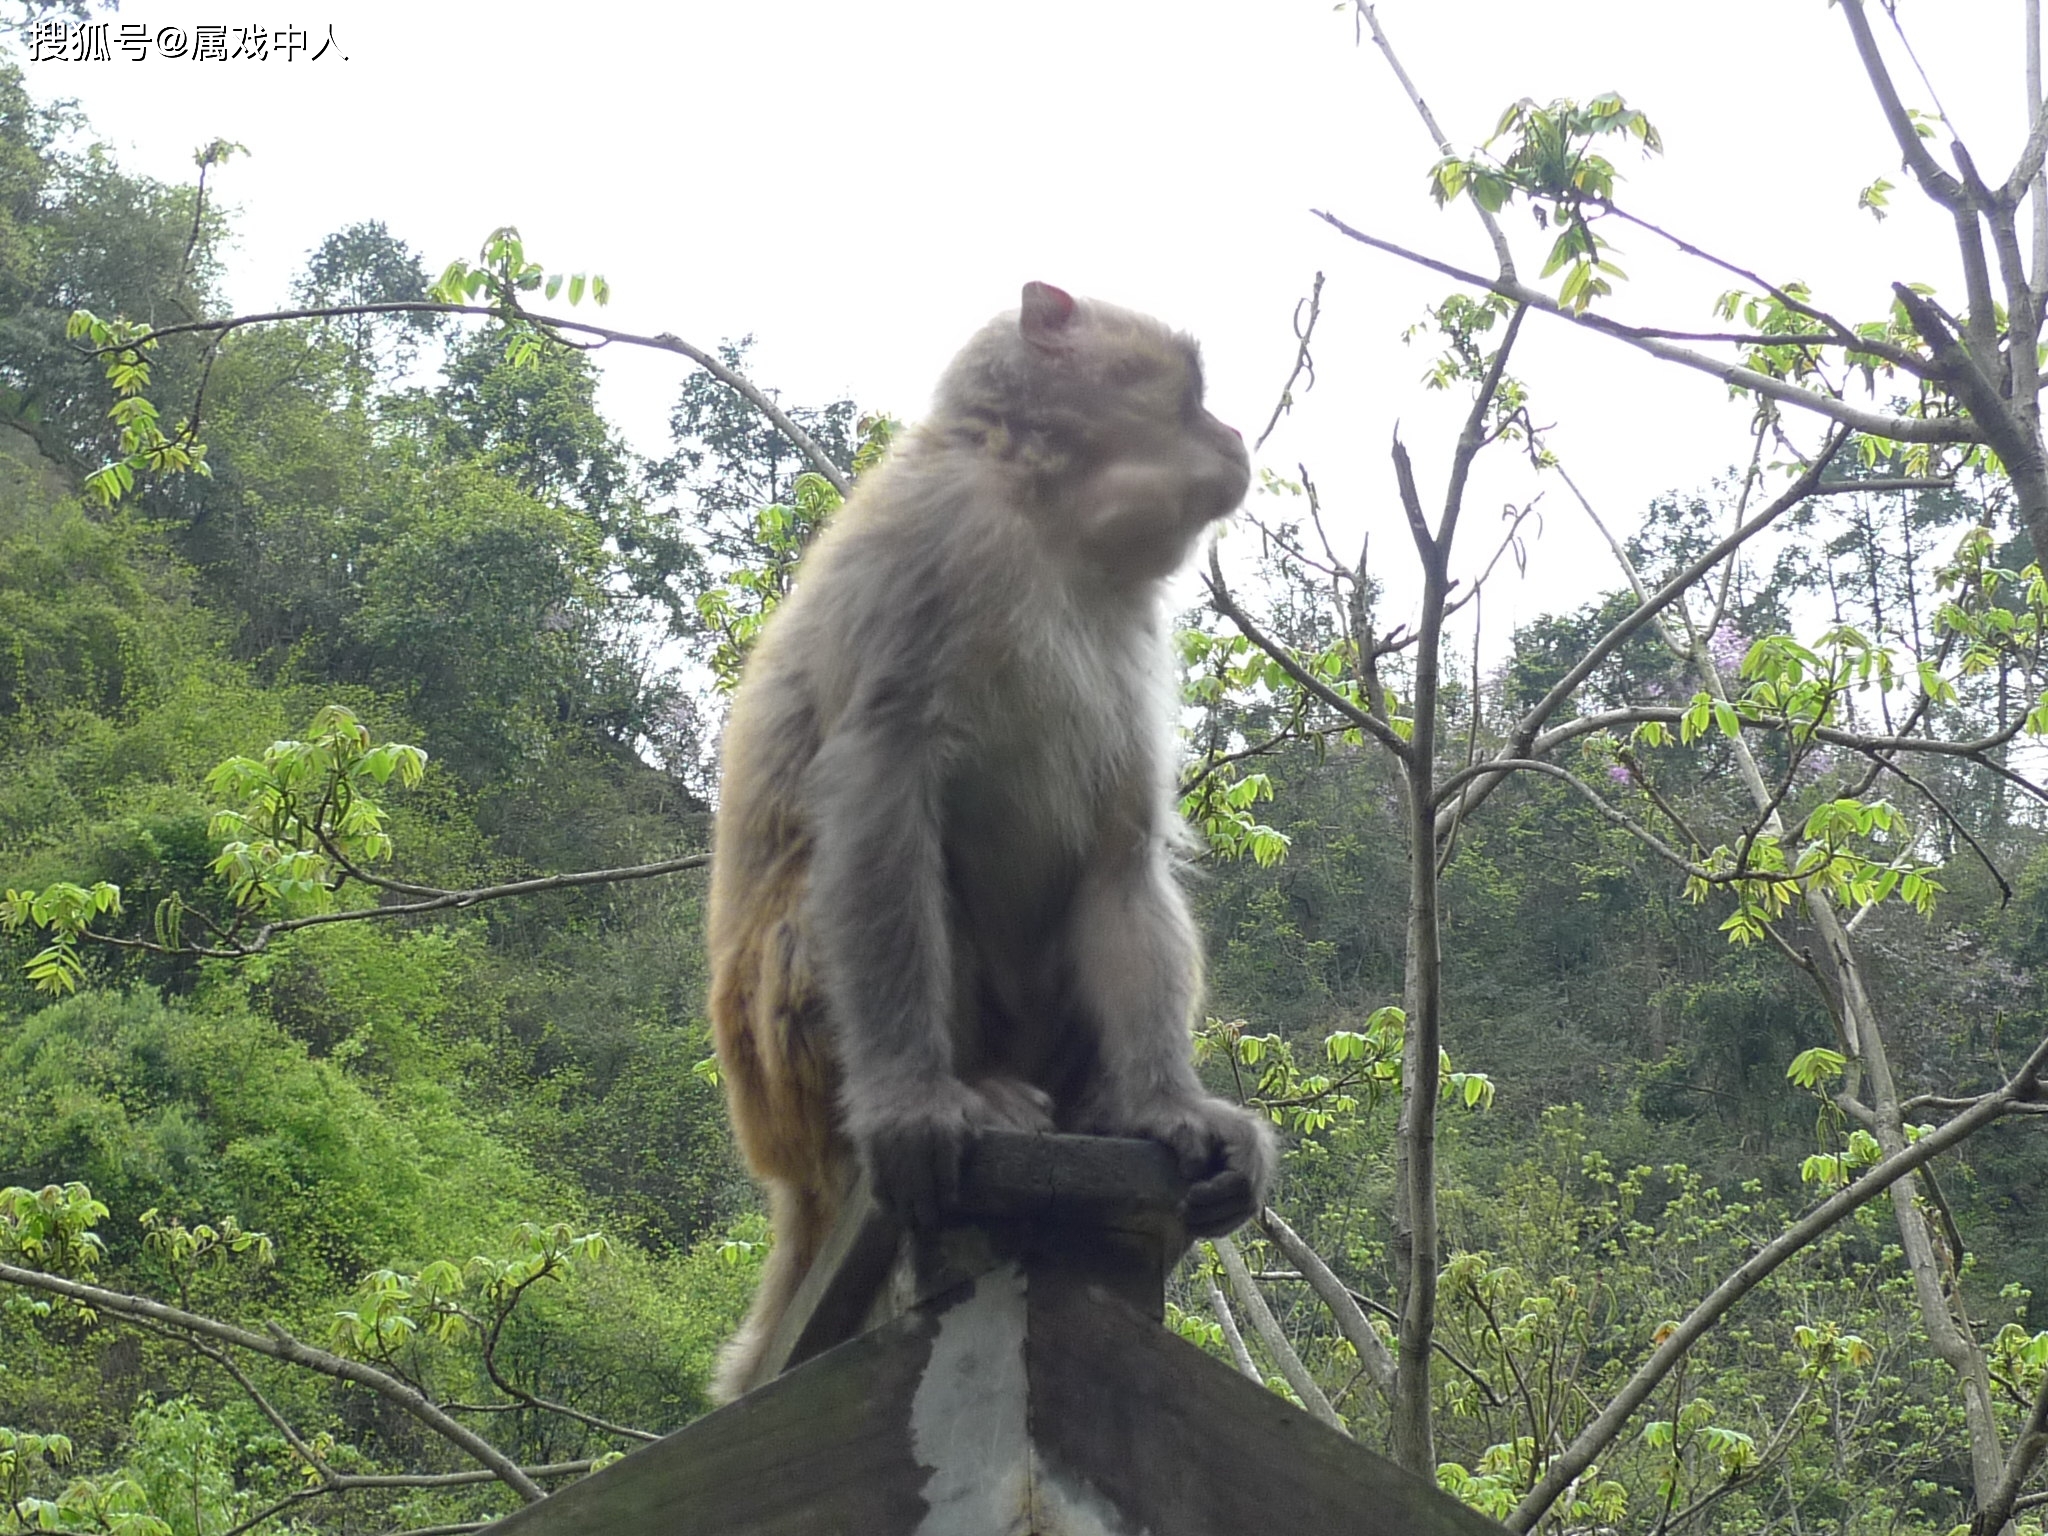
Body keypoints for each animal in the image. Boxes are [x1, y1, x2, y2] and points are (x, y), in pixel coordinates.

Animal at [712, 280, 1269, 1409]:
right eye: (1190, 389)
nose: (1234, 433)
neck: (1049, 523)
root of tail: (784, 1169)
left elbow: (1120, 857)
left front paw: (1164, 1107)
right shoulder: (926, 543)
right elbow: (880, 788)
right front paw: (910, 1106)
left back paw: (1103, 1104)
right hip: (785, 1062)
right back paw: (958, 1096)